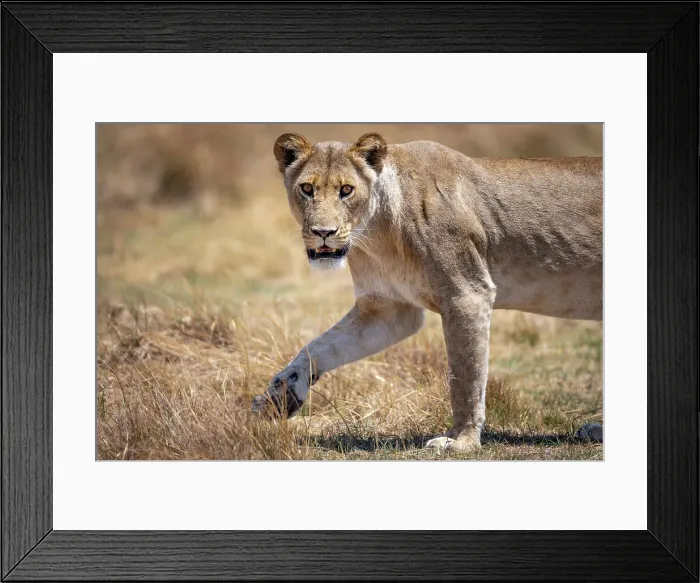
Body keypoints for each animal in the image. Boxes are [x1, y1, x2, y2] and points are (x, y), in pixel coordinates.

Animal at [251, 132, 603, 451]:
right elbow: (319, 346)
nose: (323, 233)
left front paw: (461, 440)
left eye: (346, 190)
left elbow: (465, 376)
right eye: (307, 189)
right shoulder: (387, 309)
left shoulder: (468, 294)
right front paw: (278, 397)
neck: (377, 234)